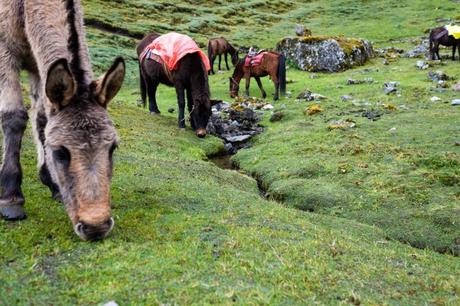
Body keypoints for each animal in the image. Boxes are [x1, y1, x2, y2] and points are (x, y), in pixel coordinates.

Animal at [0, 0, 126, 240]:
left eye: (112, 148)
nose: (96, 227)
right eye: (60, 152)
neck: (25, 8)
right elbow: (14, 116)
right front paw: (11, 197)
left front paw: (51, 182)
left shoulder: (39, 64)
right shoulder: (4, 51)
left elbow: (41, 120)